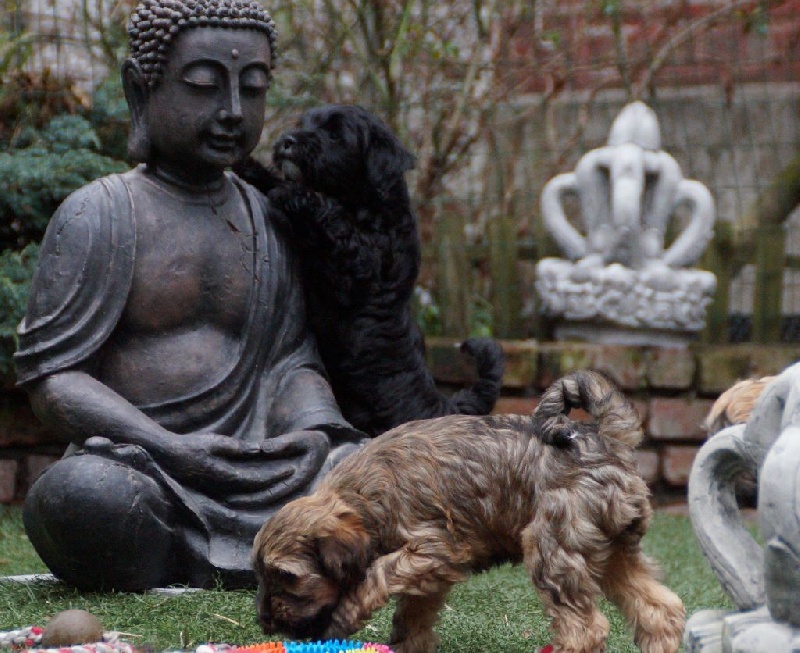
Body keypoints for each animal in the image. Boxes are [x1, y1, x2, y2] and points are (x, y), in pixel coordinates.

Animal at [234, 104, 504, 437]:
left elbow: (334, 222)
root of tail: (448, 408)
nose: (287, 140)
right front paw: (249, 167)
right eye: (305, 122)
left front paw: (293, 193)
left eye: (335, 134)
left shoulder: (358, 266)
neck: (369, 203)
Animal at [252, 370, 685, 653]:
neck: (362, 497)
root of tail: (606, 439)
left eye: (287, 577)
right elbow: (412, 611)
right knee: (659, 609)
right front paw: (410, 643)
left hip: (553, 549)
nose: (264, 622)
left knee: (586, 628)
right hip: (611, 549)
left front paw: (345, 614)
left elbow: (376, 575)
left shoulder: (433, 547)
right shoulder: (429, 571)